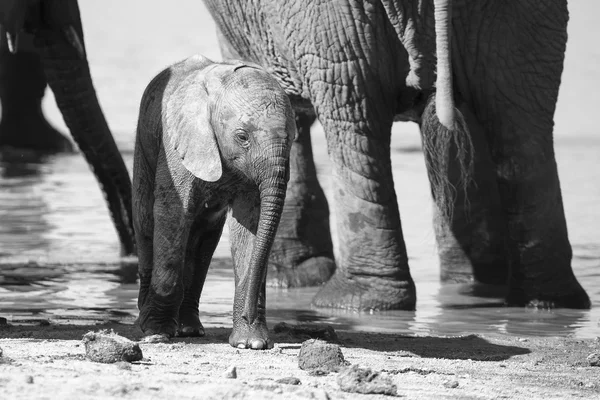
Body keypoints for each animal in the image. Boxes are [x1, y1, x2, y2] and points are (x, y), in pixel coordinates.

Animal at [134, 54, 298, 348]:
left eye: (291, 138)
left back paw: (189, 329)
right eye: (242, 137)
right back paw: (149, 321)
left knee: (203, 238)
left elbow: (251, 226)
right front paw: (155, 333)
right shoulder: (176, 146)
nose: (248, 314)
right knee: (145, 221)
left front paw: (250, 343)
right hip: (143, 144)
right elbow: (172, 213)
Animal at [203, 0, 592, 310]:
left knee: (351, 105)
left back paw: (353, 301)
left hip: (330, 19)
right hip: (524, 18)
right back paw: (547, 300)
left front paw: (291, 278)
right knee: (521, 119)